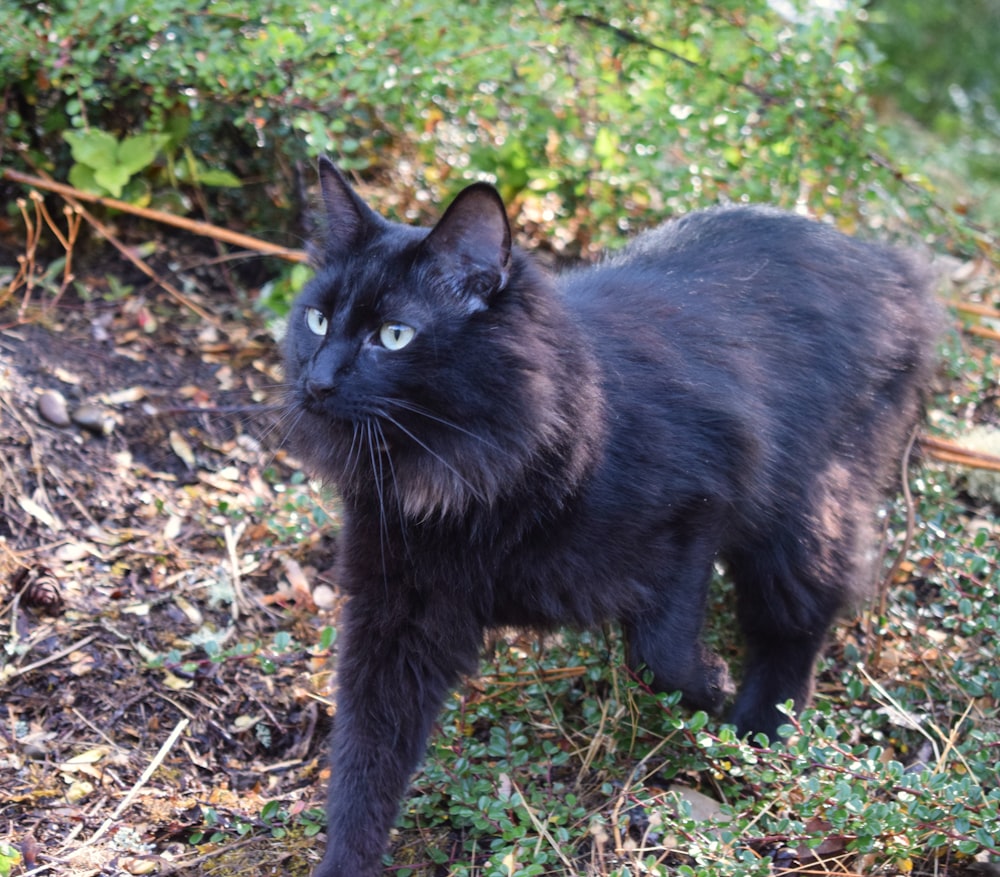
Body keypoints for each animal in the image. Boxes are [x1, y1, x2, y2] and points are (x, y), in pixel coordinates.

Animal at [282, 159, 936, 876]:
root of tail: (884, 262)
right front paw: (345, 863)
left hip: (803, 514)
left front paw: (712, 688)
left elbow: (658, 654)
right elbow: (364, 763)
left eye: (393, 336)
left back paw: (761, 732)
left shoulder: (699, 509)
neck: (472, 480)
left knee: (798, 621)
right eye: (318, 320)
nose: (316, 382)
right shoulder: (394, 612)